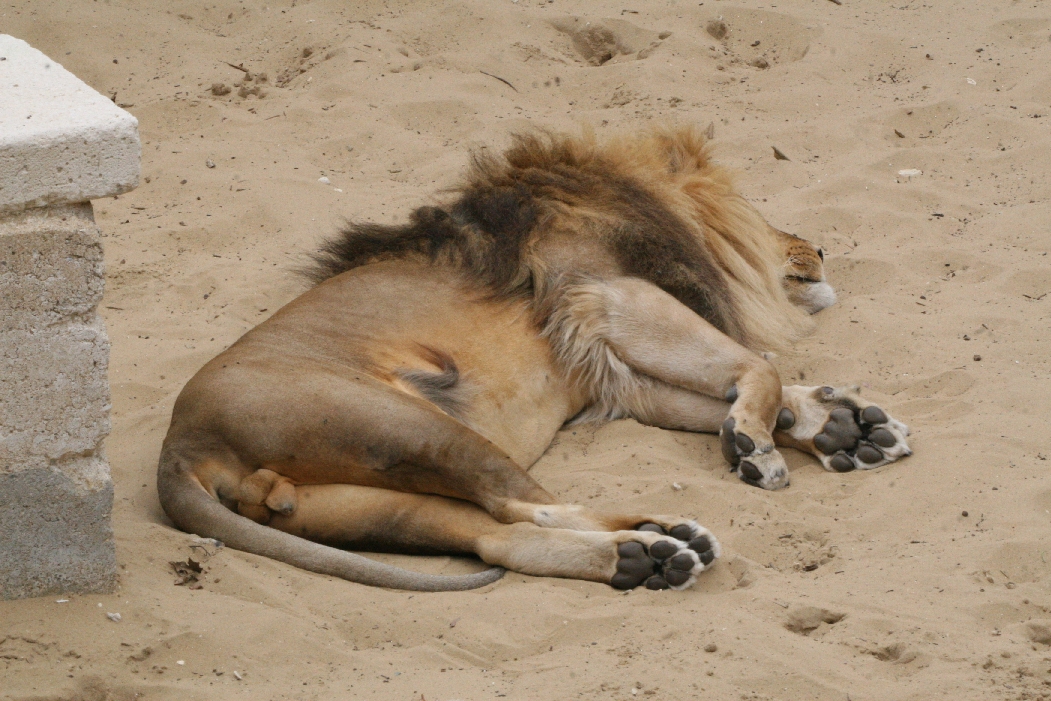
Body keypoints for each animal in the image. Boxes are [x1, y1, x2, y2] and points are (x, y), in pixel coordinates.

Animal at [158, 126, 911, 592]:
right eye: (763, 216)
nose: (819, 247)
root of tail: (179, 444)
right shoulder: (606, 294)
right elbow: (758, 368)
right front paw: (760, 446)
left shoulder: (609, 369)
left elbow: (731, 390)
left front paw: (844, 427)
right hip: (405, 425)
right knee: (525, 503)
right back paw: (666, 537)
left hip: (362, 501)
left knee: (498, 535)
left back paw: (642, 558)